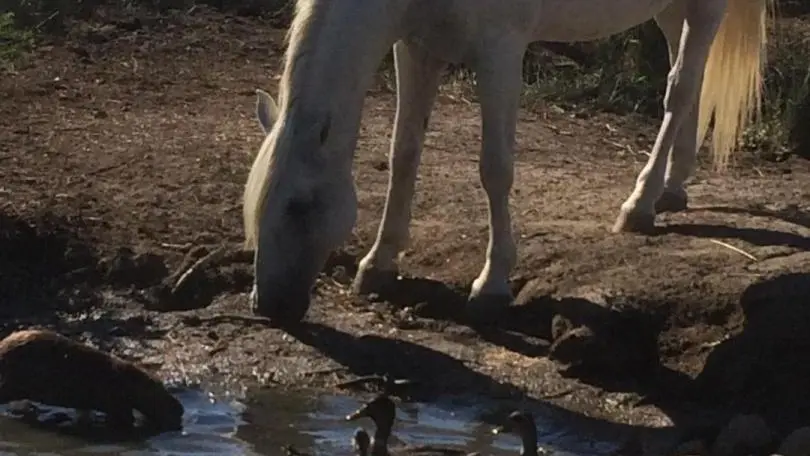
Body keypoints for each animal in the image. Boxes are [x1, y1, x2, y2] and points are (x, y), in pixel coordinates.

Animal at [241, 0, 772, 324]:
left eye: (298, 205)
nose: (269, 306)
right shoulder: (416, 47)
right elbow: (403, 154)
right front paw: (379, 262)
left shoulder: (500, 50)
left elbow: (494, 168)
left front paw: (492, 283)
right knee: (690, 82)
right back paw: (672, 187)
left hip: (704, 7)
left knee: (679, 88)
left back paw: (639, 204)